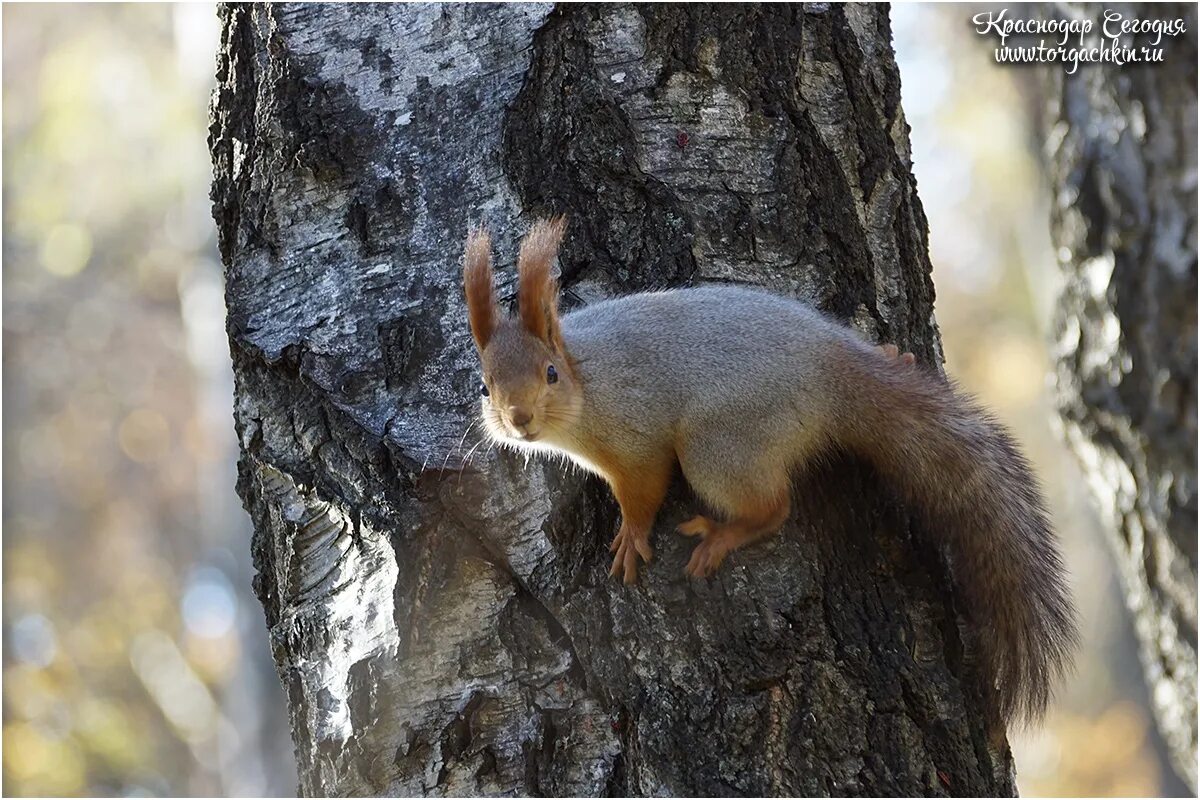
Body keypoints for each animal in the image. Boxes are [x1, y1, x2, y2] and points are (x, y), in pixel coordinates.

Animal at [458, 215, 1080, 729]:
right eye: (484, 387)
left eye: (549, 374)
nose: (518, 420)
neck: (586, 374)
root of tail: (832, 374)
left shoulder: (636, 435)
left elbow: (644, 488)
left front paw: (632, 536)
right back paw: (895, 357)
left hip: (717, 445)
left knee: (772, 508)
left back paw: (723, 535)